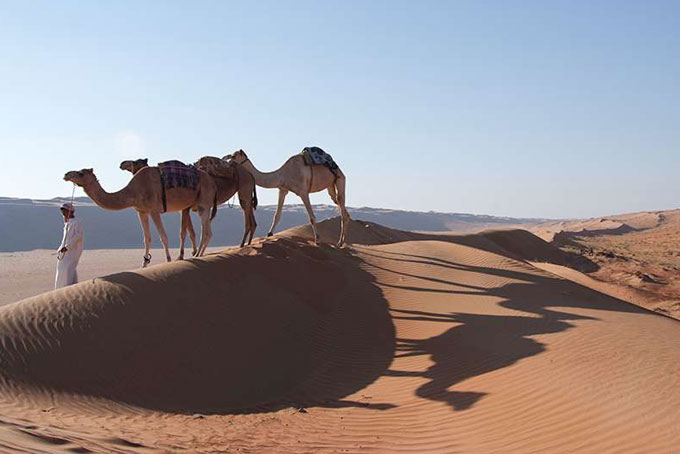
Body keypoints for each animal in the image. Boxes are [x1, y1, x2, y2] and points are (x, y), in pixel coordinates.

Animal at [64, 167, 217, 267]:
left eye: (81, 173)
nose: (66, 174)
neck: (133, 191)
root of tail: (212, 182)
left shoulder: (154, 210)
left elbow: (163, 237)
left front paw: (168, 261)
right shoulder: (141, 212)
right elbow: (147, 238)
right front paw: (144, 264)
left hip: (203, 202)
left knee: (206, 231)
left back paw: (198, 255)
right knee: (206, 231)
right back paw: (199, 254)